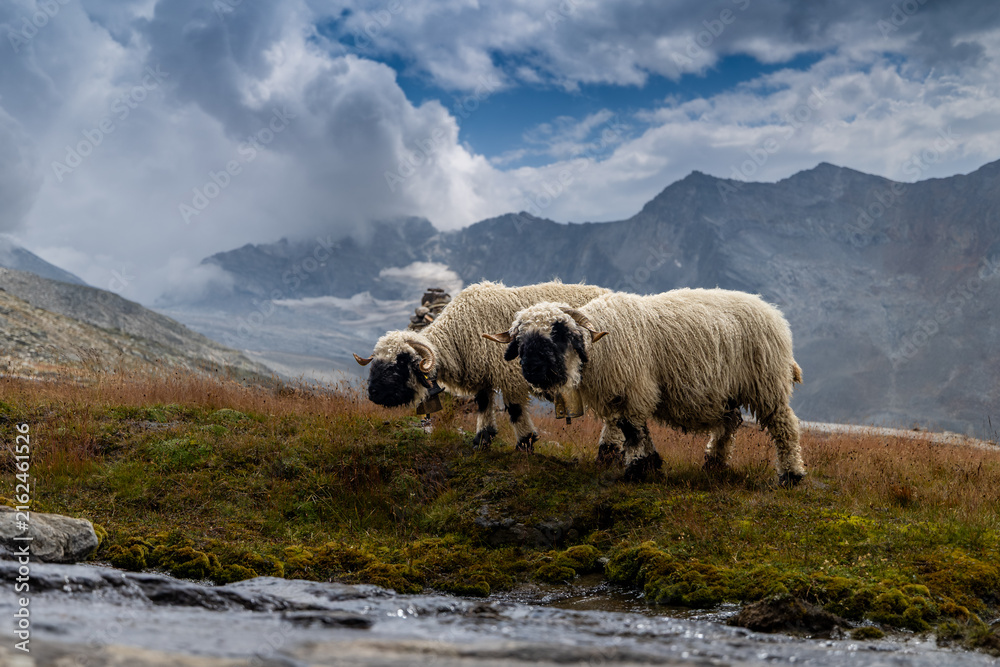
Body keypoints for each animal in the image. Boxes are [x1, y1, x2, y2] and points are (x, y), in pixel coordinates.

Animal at [354, 280, 623, 452]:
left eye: (400, 362)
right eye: (376, 361)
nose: (373, 394)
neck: (458, 335)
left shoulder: (511, 374)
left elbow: (514, 410)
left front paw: (525, 442)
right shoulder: (483, 375)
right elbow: (483, 404)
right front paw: (482, 439)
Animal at [483, 288, 806, 485]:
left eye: (559, 333)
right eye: (520, 340)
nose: (534, 370)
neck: (600, 345)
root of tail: (773, 311)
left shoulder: (635, 388)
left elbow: (632, 429)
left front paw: (637, 469)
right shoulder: (620, 394)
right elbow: (631, 428)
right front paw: (648, 463)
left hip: (767, 382)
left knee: (784, 426)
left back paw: (791, 475)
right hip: (727, 393)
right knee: (730, 423)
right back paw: (714, 463)